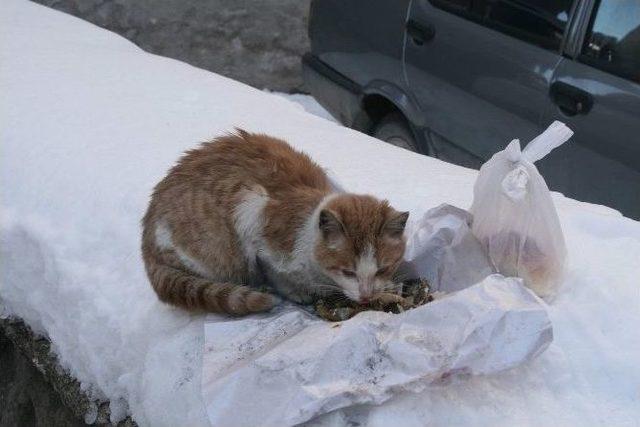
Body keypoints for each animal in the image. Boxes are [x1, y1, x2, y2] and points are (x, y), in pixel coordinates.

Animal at [142, 130, 408, 318]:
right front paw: (295, 291)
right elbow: (275, 273)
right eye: (348, 272)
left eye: (383, 269)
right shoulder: (254, 217)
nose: (366, 297)